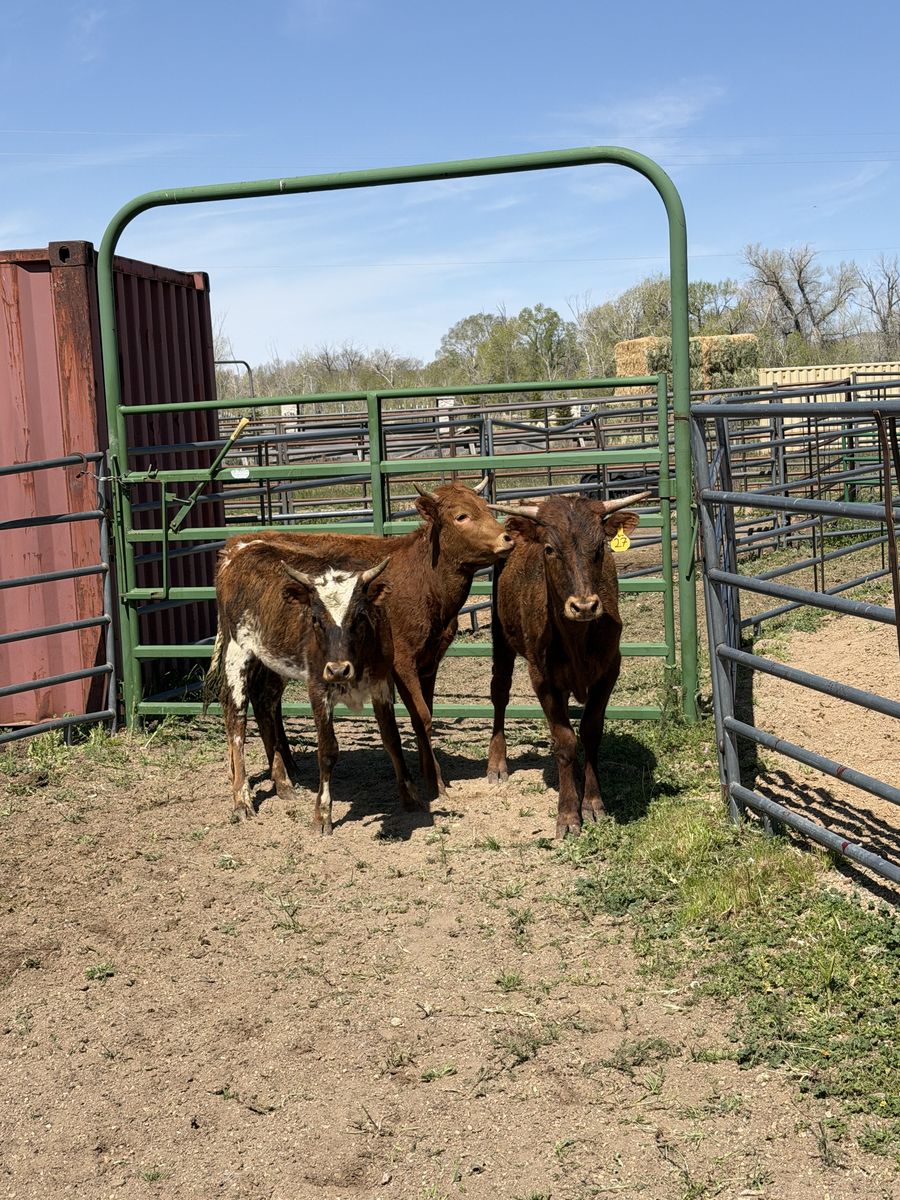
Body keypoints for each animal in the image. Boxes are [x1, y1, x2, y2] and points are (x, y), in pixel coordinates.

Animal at [203, 546, 418, 833]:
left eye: (360, 616)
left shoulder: (381, 683)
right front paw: (322, 814)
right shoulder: (318, 687)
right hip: (238, 652)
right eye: (315, 619)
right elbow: (327, 750)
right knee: (235, 718)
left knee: (264, 702)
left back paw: (282, 782)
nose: (338, 670)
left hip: (274, 661)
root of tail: (236, 552)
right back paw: (242, 799)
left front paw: (409, 796)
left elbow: (392, 739)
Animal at [222, 481, 514, 802]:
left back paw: (283, 776)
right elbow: (422, 717)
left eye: (485, 507)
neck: (423, 576)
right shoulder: (402, 662)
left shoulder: (429, 661)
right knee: (243, 708)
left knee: (265, 702)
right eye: (461, 516)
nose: (507, 538)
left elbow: (424, 714)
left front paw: (429, 775)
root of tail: (238, 547)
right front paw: (436, 782)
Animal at [485, 490, 649, 840]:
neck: (577, 638)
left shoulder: (608, 672)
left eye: (600, 548)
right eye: (549, 549)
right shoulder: (542, 678)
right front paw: (568, 814)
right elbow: (564, 741)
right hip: (500, 635)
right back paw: (497, 762)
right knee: (499, 692)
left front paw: (592, 802)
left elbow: (589, 732)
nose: (584, 606)